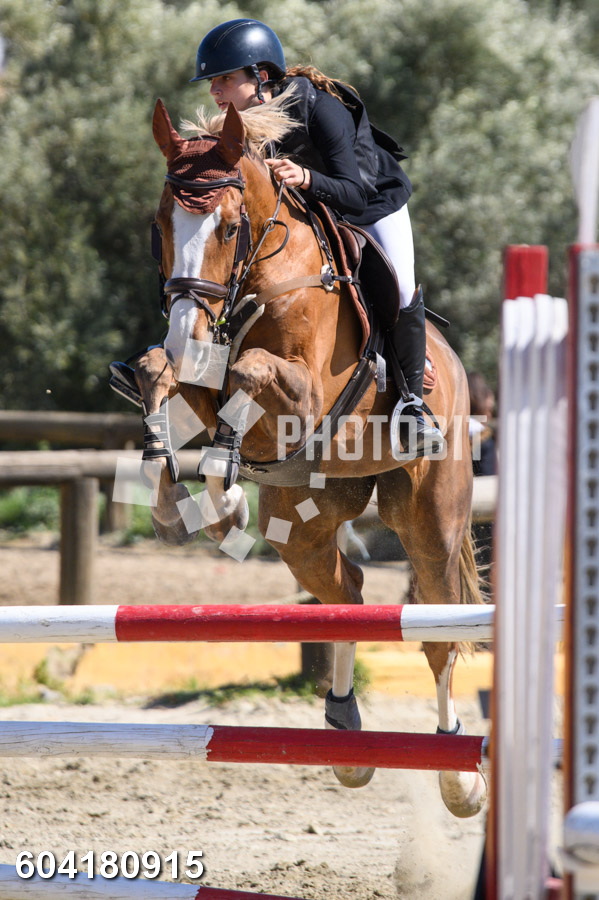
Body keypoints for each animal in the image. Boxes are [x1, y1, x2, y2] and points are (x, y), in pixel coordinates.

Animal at [132, 96, 487, 818]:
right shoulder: (198, 374)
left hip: (430, 518)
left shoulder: (305, 391)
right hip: (307, 518)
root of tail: (457, 368)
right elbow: (160, 372)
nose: (186, 331)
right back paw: (345, 732)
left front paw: (224, 497)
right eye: (159, 226)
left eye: (228, 226)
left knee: (436, 631)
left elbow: (251, 372)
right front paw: (176, 496)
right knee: (344, 593)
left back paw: (458, 774)